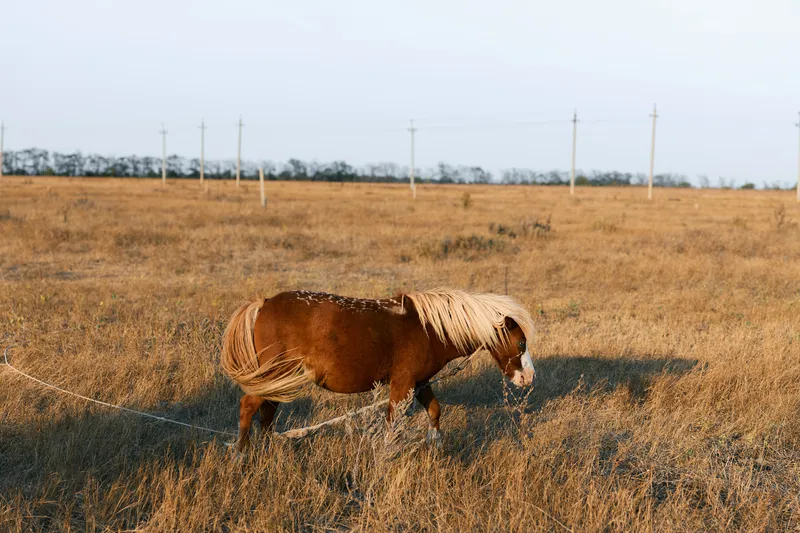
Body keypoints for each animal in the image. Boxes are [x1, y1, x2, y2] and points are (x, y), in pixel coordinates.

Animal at [220, 288, 536, 451]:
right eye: (521, 342)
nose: (529, 377)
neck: (429, 328)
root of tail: (263, 303)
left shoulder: (419, 382)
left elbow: (435, 410)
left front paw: (435, 445)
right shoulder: (402, 384)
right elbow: (392, 423)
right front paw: (387, 456)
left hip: (278, 381)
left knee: (267, 412)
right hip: (276, 376)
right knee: (250, 406)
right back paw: (241, 455)